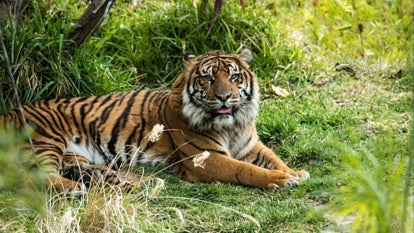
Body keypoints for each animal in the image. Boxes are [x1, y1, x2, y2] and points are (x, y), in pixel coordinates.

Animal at [0, 49, 308, 197]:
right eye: (208, 78)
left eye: (233, 76)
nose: (224, 97)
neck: (232, 126)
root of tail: (7, 113)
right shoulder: (205, 158)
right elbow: (244, 170)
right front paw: (280, 179)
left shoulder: (251, 146)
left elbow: (273, 158)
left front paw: (294, 172)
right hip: (45, 142)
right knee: (34, 177)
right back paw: (74, 189)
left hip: (75, 156)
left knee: (89, 173)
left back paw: (130, 185)